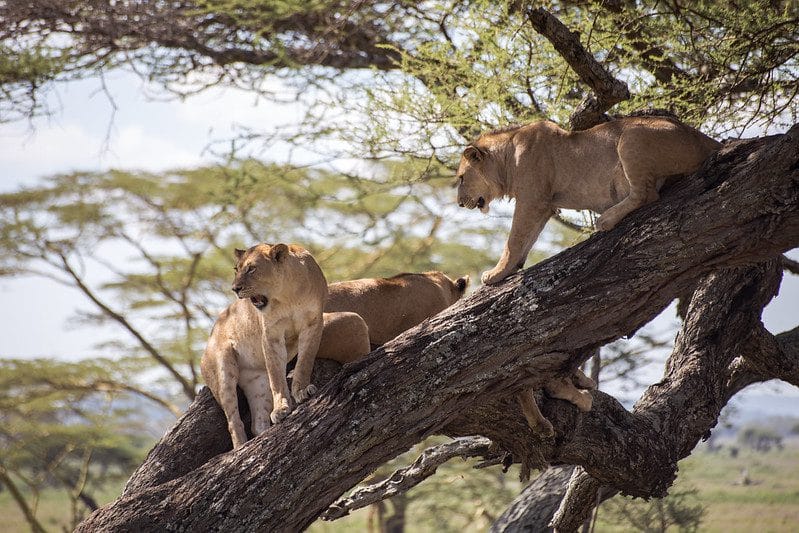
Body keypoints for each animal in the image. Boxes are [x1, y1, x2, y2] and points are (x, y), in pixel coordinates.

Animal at [201, 243, 340, 448]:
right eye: (236, 269)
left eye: (252, 269)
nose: (235, 288)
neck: (287, 294)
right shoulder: (271, 334)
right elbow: (277, 376)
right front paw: (282, 408)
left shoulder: (313, 324)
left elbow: (304, 362)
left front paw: (301, 391)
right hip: (223, 372)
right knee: (233, 422)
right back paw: (241, 447)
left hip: (257, 381)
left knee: (257, 424)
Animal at [456, 116, 721, 285]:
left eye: (460, 178)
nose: (459, 203)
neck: (507, 158)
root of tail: (703, 137)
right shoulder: (545, 206)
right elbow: (526, 239)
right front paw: (513, 268)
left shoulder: (533, 200)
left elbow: (514, 239)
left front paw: (495, 274)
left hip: (631, 137)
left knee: (646, 193)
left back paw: (606, 220)